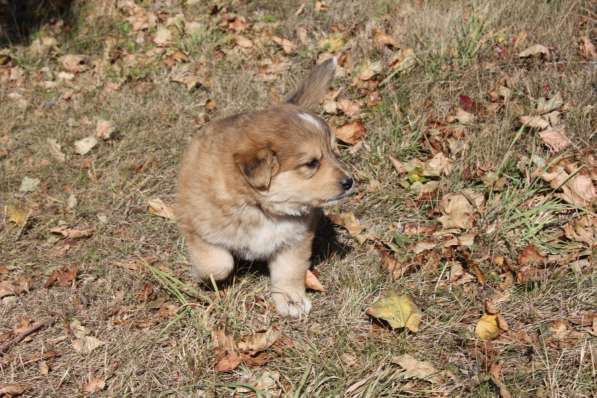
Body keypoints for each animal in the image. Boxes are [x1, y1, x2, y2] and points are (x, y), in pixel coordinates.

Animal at [177, 57, 354, 316]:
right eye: (312, 163)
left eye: (334, 152)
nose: (350, 182)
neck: (260, 207)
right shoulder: (198, 229)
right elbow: (218, 263)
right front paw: (204, 276)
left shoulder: (295, 239)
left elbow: (290, 271)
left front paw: (291, 300)